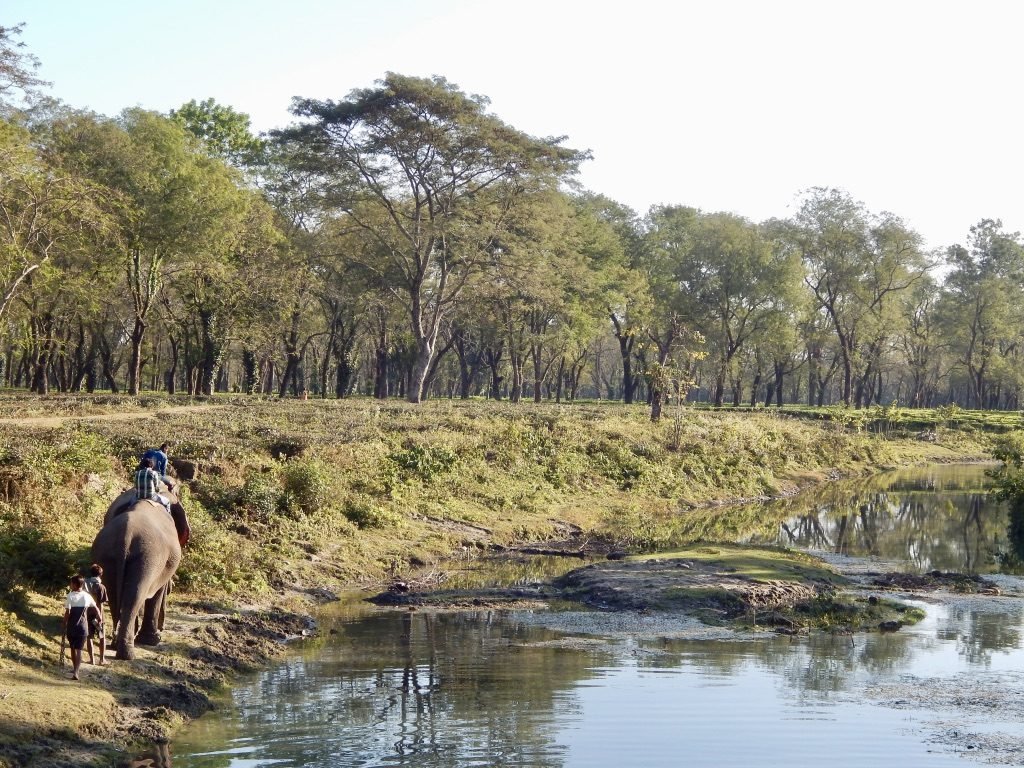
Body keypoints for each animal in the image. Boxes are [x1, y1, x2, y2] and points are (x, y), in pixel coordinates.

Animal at [91, 487, 190, 663]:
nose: (162, 628)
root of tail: (125, 537)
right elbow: (157, 593)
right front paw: (153, 641)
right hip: (148, 558)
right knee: (135, 596)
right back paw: (128, 655)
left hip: (106, 555)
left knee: (116, 596)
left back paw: (117, 644)